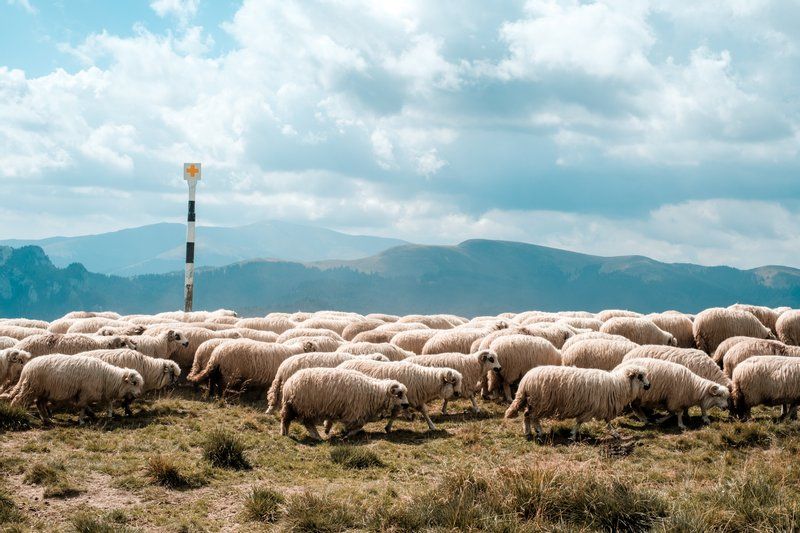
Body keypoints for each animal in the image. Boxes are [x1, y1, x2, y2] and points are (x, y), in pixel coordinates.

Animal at [2, 354, 144, 424]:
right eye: (134, 383)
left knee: (39, 403)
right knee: (18, 400)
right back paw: (15, 414)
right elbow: (83, 407)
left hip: (43, 390)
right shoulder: (85, 393)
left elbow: (108, 404)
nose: (139, 394)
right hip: (31, 387)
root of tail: (26, 367)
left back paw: (46, 419)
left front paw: (108, 416)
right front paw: (81, 420)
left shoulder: (101, 393)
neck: (107, 377)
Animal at [278, 368, 410, 438]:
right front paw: (347, 434)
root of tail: (289, 383)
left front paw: (330, 429)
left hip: (296, 406)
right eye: (399, 394)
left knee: (291, 420)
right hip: (304, 406)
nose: (407, 405)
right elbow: (358, 426)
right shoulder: (354, 413)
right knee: (300, 421)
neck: (374, 393)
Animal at [506, 364, 648, 438]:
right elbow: (580, 422)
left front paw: (615, 433)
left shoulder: (603, 407)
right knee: (532, 417)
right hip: (540, 402)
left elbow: (607, 422)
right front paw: (573, 435)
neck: (618, 385)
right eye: (640, 376)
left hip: (533, 402)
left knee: (527, 415)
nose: (648, 386)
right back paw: (538, 431)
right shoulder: (593, 407)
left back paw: (528, 431)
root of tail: (525, 380)